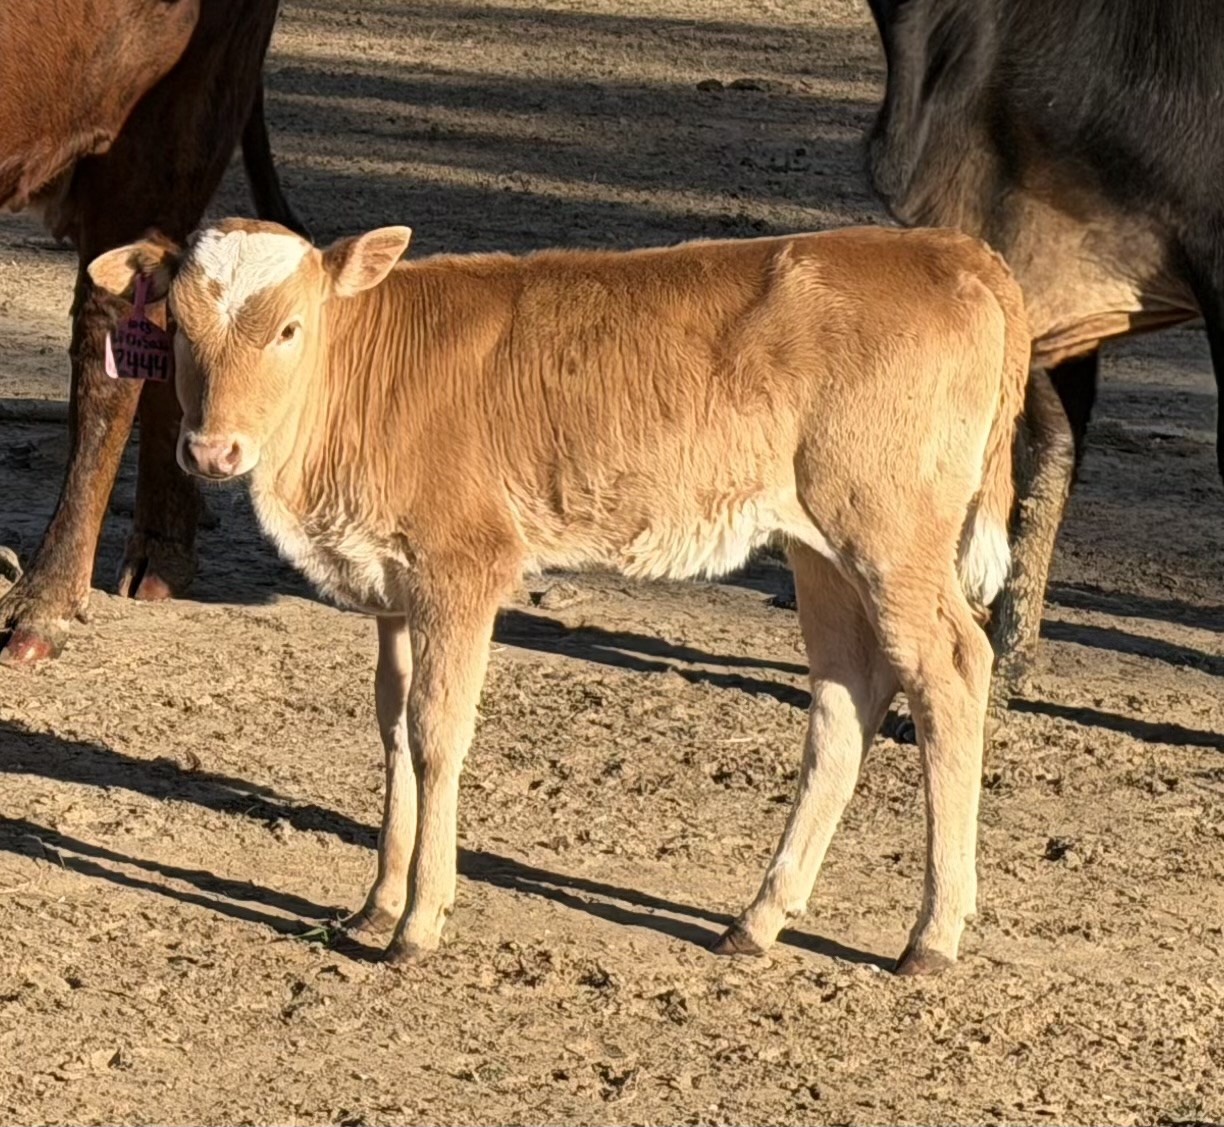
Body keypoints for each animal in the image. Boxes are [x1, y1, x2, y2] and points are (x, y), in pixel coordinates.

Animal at [89, 218, 1028, 973]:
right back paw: (758, 918)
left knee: (950, 667)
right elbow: (392, 728)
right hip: (818, 548)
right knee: (844, 699)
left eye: (288, 327)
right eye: (177, 326)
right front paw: (375, 905)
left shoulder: (462, 568)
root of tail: (953, 249)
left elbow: (436, 733)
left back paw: (932, 934)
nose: (212, 450)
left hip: (889, 528)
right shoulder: (394, 587)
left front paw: (418, 922)